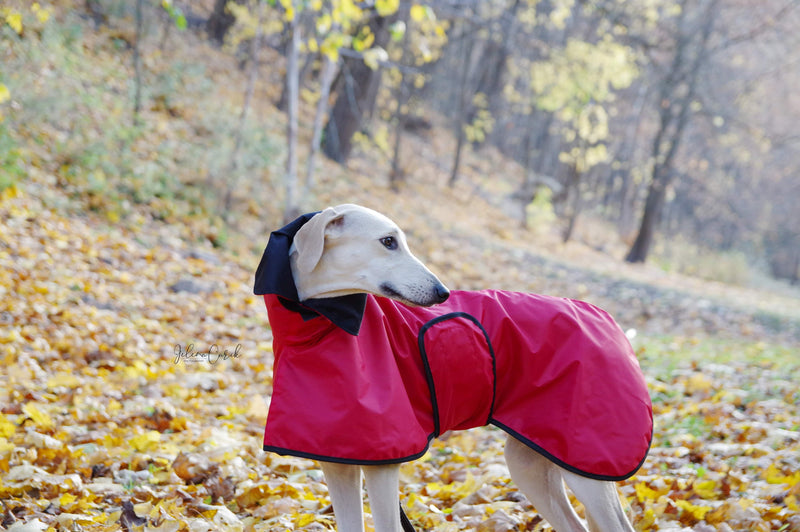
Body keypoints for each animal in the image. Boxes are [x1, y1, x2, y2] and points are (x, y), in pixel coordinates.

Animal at [253, 204, 652, 532]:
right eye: (388, 241)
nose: (442, 292)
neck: (317, 325)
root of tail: (606, 318)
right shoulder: (338, 463)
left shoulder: (383, 465)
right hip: (534, 459)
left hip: (588, 459)